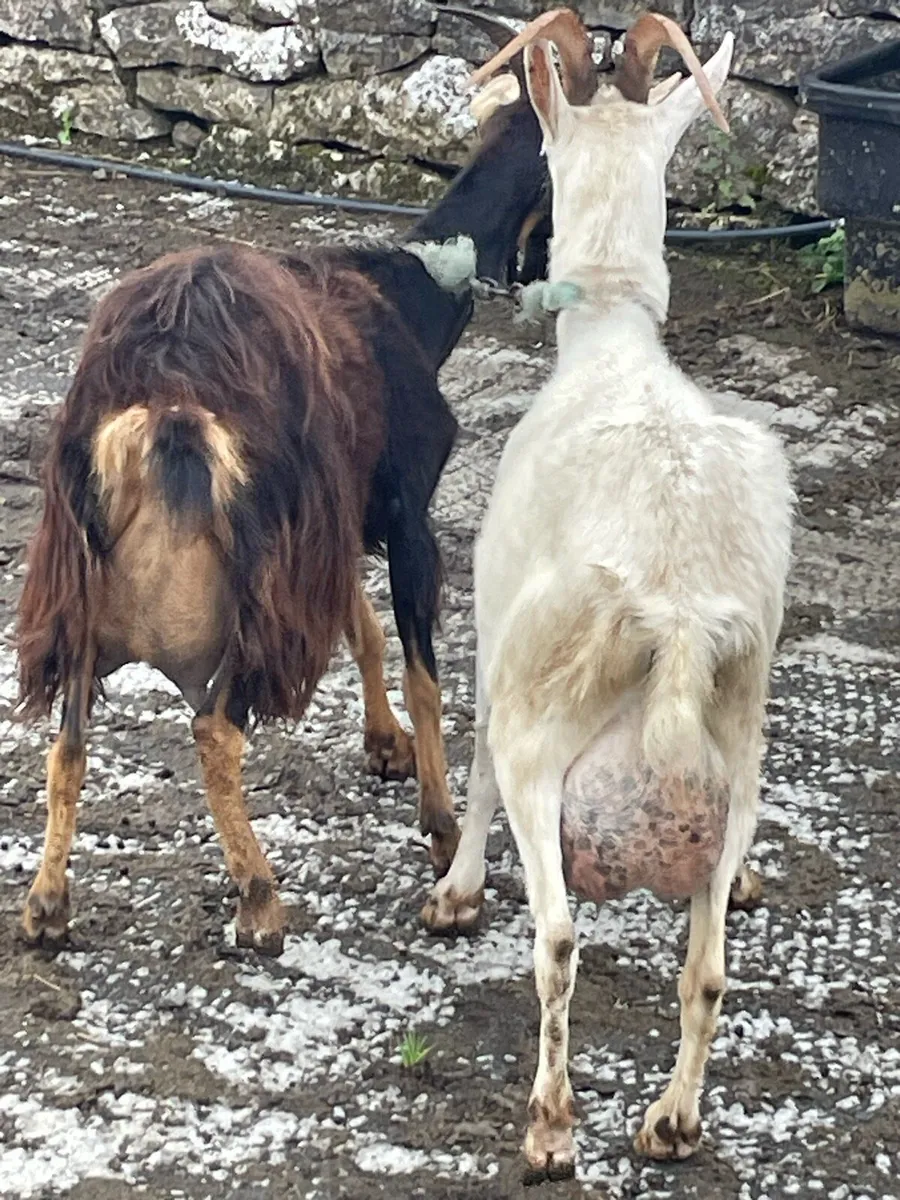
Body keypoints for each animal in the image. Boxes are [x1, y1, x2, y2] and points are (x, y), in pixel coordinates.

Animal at [423, 10, 793, 1179]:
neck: (615, 352)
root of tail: (674, 621)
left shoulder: (494, 626)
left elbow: (473, 753)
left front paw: (453, 893)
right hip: (736, 762)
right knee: (708, 969)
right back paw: (670, 1121)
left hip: (548, 738)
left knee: (556, 939)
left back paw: (550, 1129)